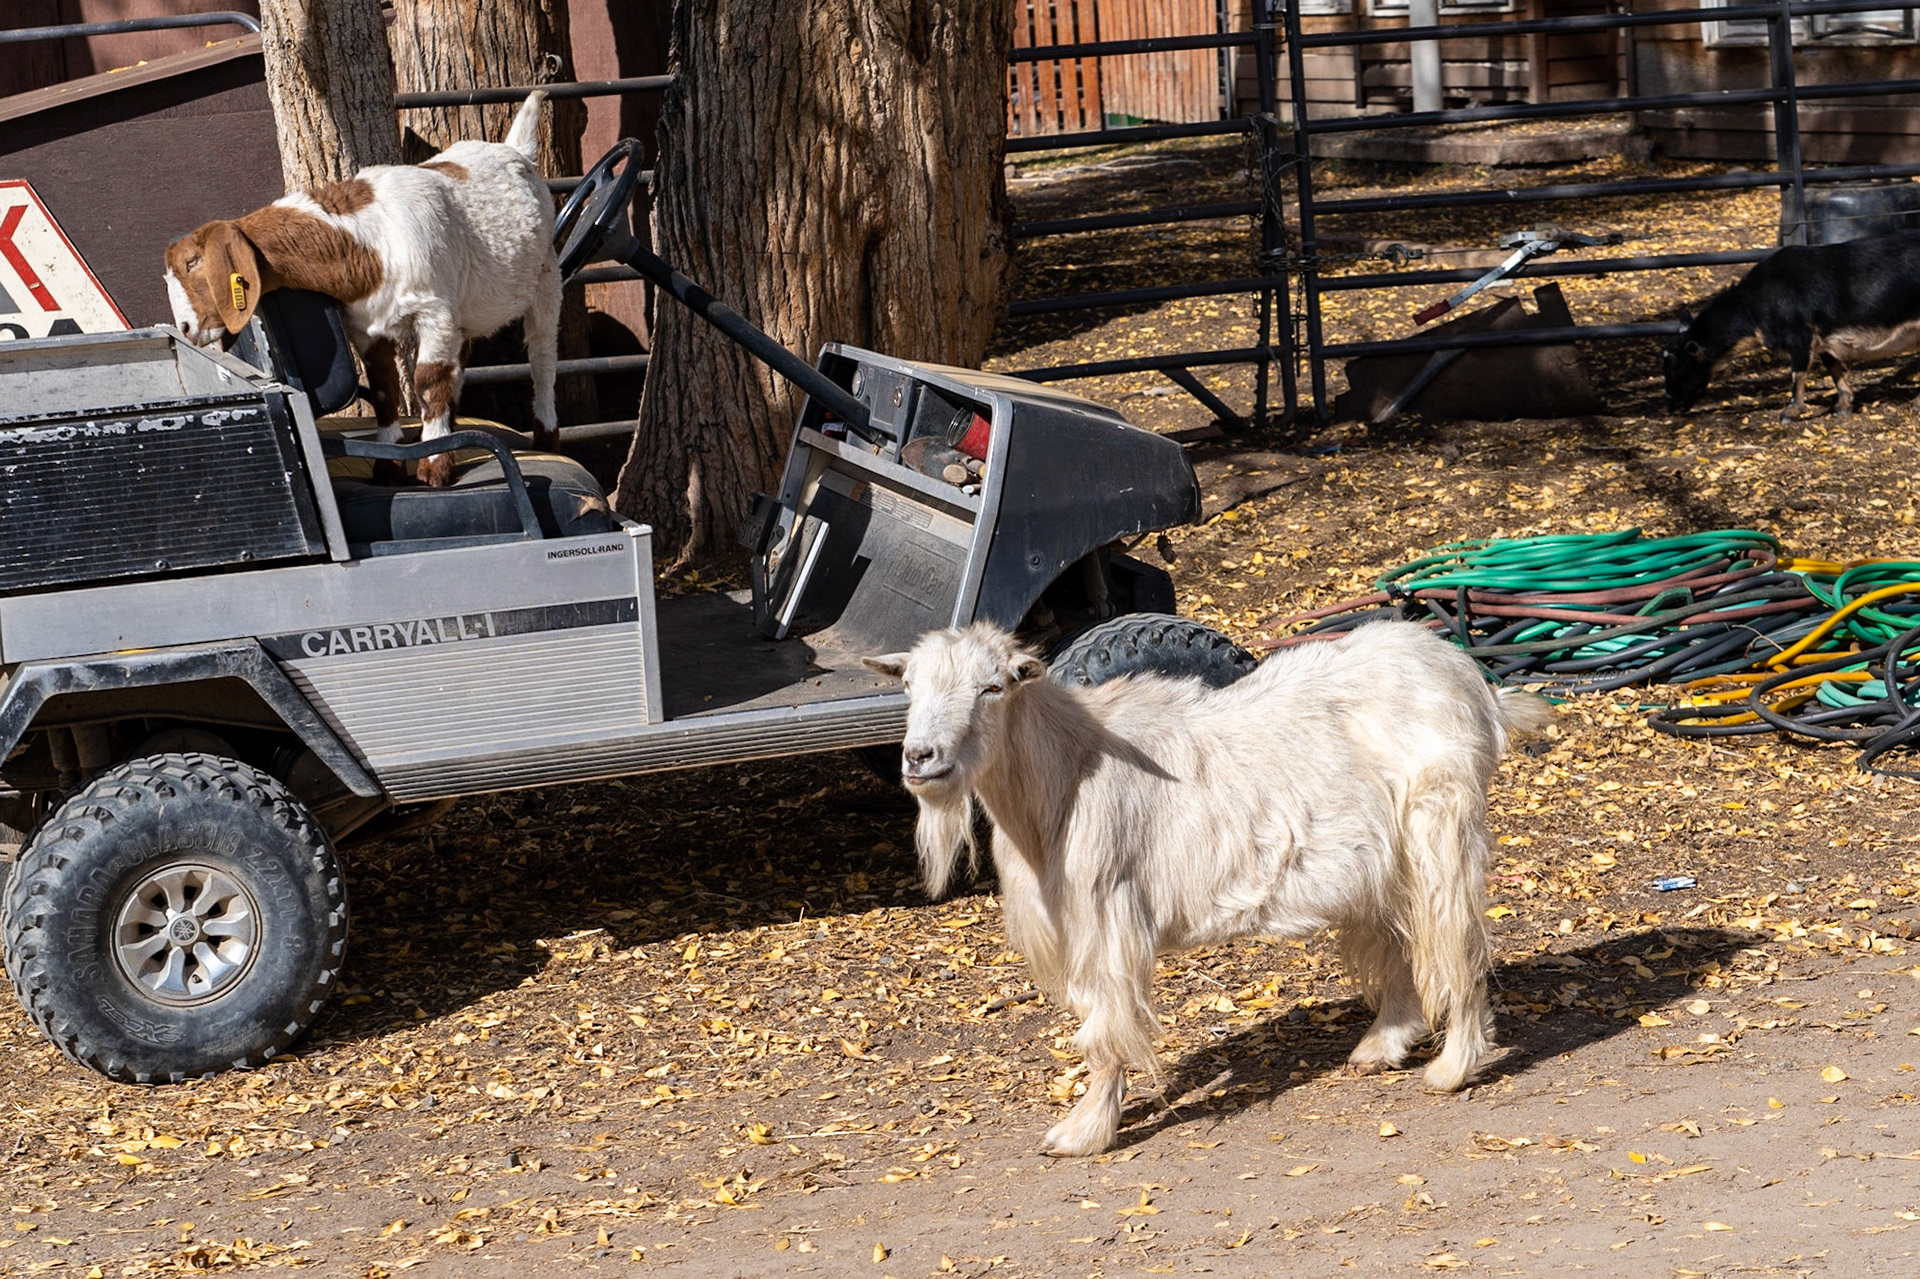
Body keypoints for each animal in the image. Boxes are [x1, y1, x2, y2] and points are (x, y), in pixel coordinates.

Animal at [164, 92, 561, 487]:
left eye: (193, 263)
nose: (185, 327)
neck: (364, 244)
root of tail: (515, 150)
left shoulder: (434, 313)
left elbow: (429, 380)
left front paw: (434, 464)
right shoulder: (365, 325)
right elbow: (385, 385)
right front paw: (389, 466)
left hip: (545, 276)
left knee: (542, 354)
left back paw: (545, 438)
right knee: (462, 359)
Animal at [863, 620, 1550, 1157]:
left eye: (993, 686)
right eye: (908, 686)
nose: (920, 757)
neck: (1066, 772)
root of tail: (1473, 684)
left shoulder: (1107, 914)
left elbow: (1105, 1031)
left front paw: (1083, 1134)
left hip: (1441, 826)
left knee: (1455, 938)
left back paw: (1454, 1067)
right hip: (1382, 857)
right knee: (1398, 933)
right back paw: (1384, 1043)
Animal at [1664, 230, 1920, 422]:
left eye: (1682, 367)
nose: (1671, 406)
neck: (1755, 305)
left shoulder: (1799, 335)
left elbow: (1797, 372)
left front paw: (1790, 412)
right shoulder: (1822, 336)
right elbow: (1832, 365)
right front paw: (1842, 405)